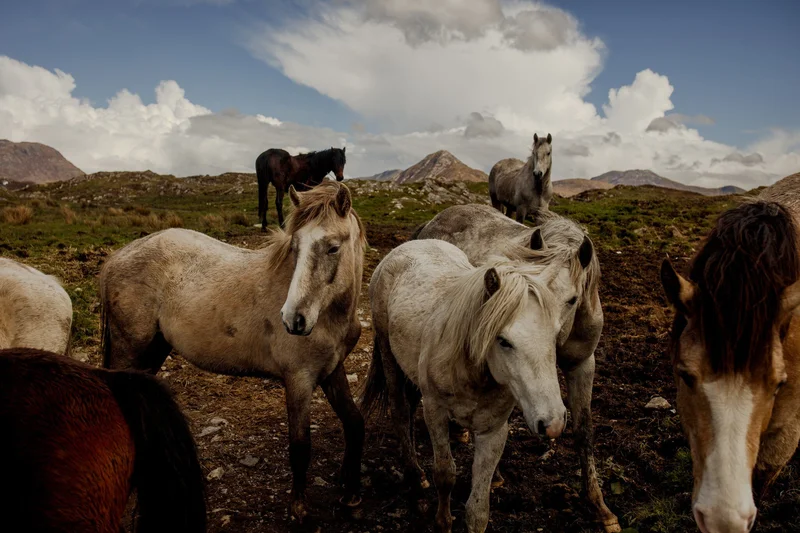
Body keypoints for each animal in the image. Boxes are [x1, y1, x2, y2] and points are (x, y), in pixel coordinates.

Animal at [99, 180, 366, 527]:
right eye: (294, 247)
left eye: (333, 248)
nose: (293, 319)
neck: (330, 315)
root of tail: (117, 257)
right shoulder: (299, 380)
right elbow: (300, 445)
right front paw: (298, 509)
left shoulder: (332, 371)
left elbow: (355, 424)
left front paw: (352, 496)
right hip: (128, 351)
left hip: (152, 352)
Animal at [361, 238, 582, 533]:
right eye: (503, 340)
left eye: (555, 334)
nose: (553, 423)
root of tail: (411, 244)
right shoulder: (435, 413)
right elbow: (445, 474)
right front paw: (443, 522)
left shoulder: (493, 430)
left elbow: (478, 508)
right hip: (389, 357)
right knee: (400, 412)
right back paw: (414, 476)